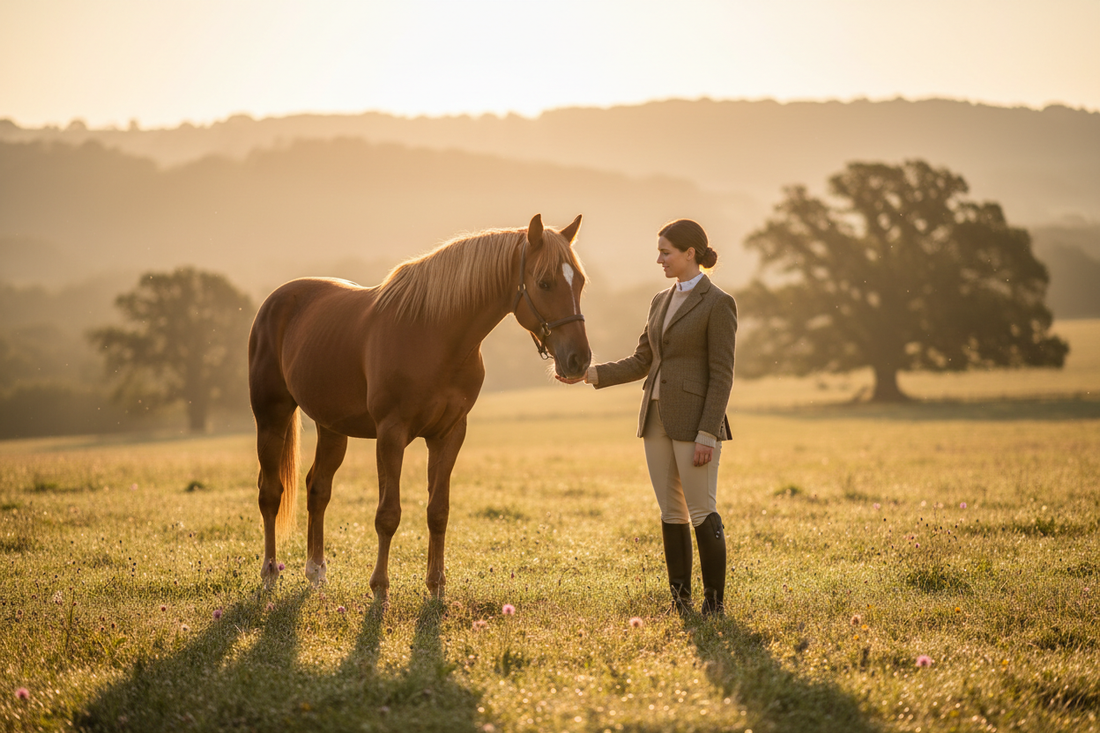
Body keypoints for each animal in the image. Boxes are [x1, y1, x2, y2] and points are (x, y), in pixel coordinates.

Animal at [248, 214, 590, 601]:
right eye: (544, 282)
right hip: (271, 416)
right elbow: (388, 514)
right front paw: (380, 588)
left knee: (317, 489)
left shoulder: (449, 434)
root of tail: (276, 300)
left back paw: (316, 572)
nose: (578, 360)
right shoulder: (391, 434)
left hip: (331, 427)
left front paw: (436, 585)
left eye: (579, 282)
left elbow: (438, 511)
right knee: (270, 493)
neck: (434, 334)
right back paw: (270, 573)